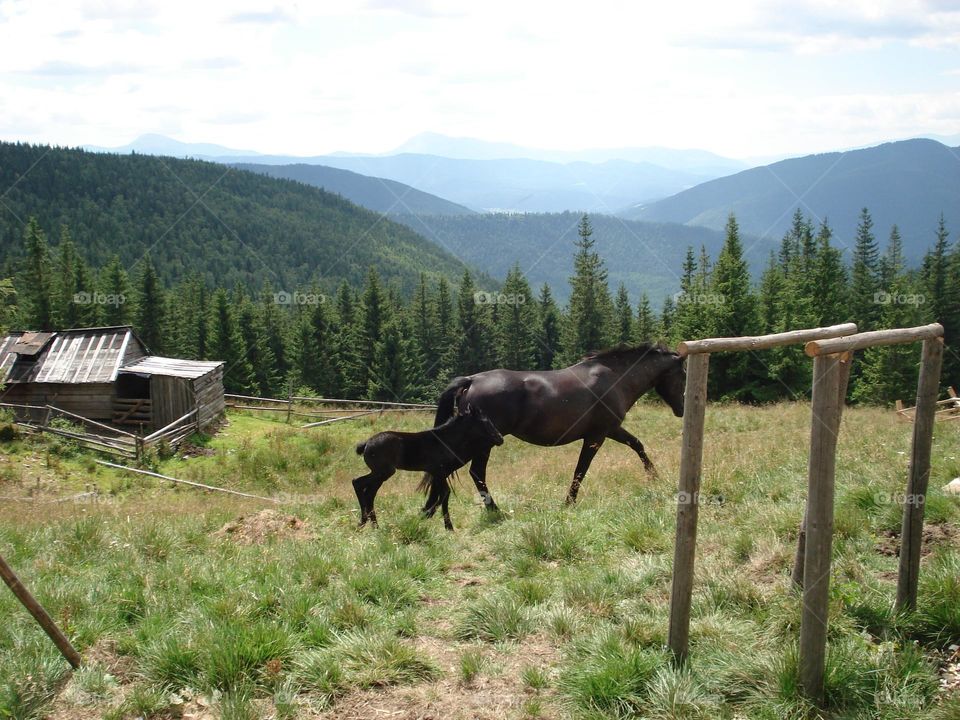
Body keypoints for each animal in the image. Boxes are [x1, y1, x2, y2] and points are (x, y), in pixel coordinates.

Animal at [350, 404, 502, 528]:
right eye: (484, 422)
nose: (500, 438)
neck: (446, 441)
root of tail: (366, 444)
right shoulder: (439, 472)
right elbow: (445, 493)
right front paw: (442, 522)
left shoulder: (440, 474)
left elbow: (443, 494)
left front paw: (436, 519)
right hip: (383, 471)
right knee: (358, 482)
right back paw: (363, 522)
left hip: (381, 474)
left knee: (369, 492)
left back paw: (374, 525)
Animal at [432, 344, 688, 506]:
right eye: (684, 375)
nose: (682, 409)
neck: (615, 379)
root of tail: (471, 380)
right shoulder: (597, 436)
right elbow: (581, 470)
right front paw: (569, 502)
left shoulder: (611, 430)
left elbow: (637, 445)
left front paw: (653, 476)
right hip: (483, 443)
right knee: (476, 472)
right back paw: (493, 508)